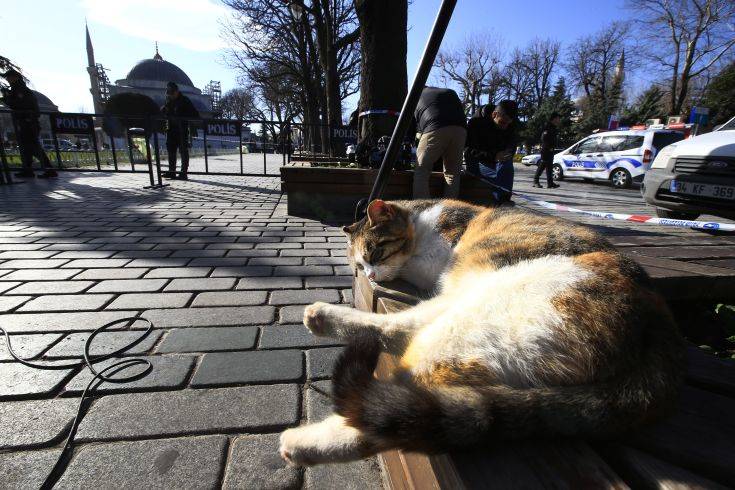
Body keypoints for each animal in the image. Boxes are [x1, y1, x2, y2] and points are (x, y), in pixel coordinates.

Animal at [278, 198, 688, 468]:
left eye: (376, 252)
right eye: (360, 264)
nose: (372, 275)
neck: (423, 222)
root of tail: (663, 329)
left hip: (484, 311)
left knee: (392, 392)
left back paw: (300, 441)